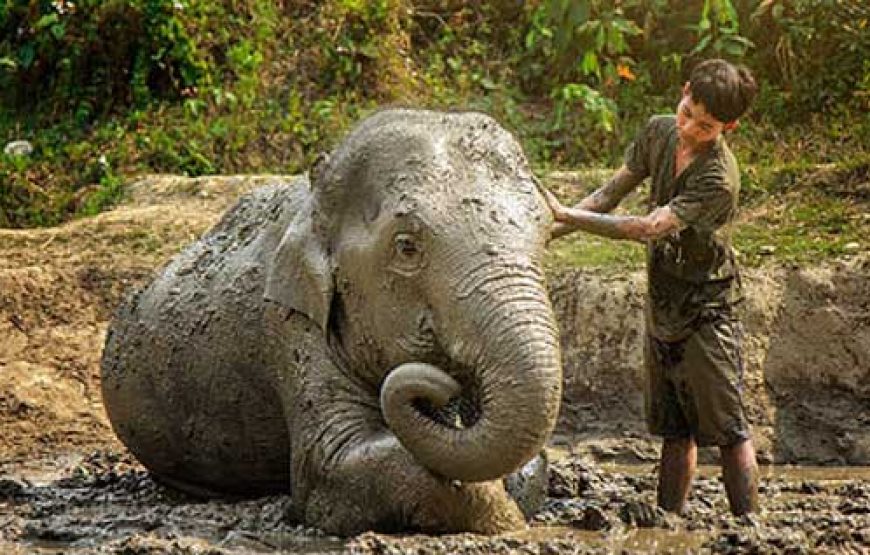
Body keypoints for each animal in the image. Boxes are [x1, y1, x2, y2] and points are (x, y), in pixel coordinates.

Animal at [102, 106, 564, 536]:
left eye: (544, 236)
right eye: (407, 247)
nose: (444, 390)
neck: (316, 202)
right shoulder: (289, 327)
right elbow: (333, 464)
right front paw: (505, 520)